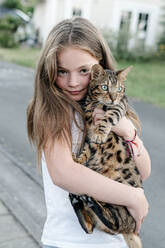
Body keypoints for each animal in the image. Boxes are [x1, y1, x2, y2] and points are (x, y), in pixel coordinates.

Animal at [69, 64, 142, 248]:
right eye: (104, 87)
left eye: (119, 89)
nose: (113, 98)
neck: (93, 103)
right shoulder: (89, 137)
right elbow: (87, 149)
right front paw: (78, 159)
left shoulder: (120, 106)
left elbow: (109, 116)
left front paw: (101, 133)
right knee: (92, 226)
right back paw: (78, 199)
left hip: (120, 203)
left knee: (114, 223)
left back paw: (87, 199)